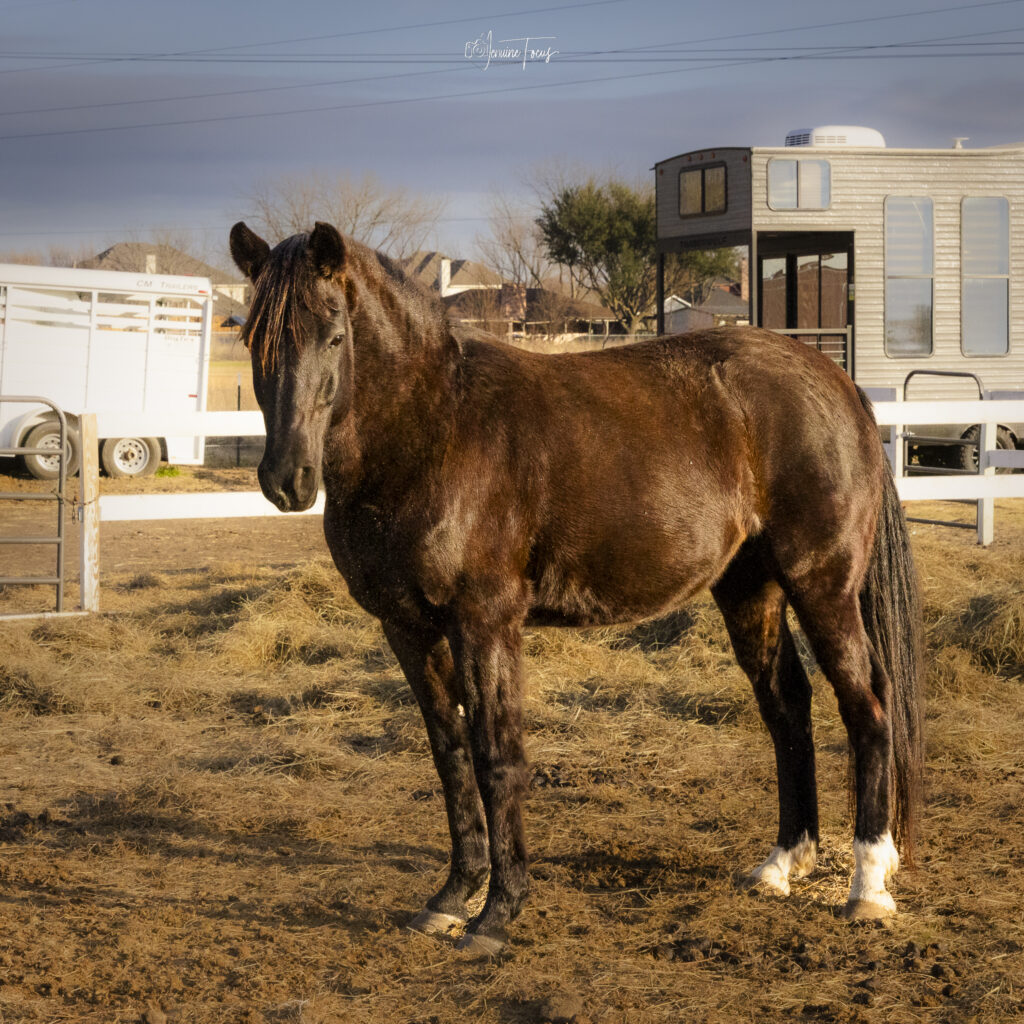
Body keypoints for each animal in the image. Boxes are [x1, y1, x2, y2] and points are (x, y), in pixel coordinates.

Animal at [229, 220, 923, 957]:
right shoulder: (408, 630)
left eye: (335, 336)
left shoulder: (485, 625)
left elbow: (497, 756)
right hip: (749, 589)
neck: (433, 429)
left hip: (822, 586)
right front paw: (451, 898)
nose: (287, 480)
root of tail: (837, 382)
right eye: (254, 339)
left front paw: (496, 914)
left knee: (867, 706)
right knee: (786, 705)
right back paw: (781, 865)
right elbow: (450, 756)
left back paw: (868, 885)